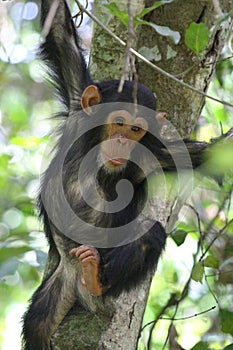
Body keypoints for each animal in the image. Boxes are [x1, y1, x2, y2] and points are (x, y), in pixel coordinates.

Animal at [20, 0, 232, 350]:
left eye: (136, 130)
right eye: (119, 123)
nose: (122, 141)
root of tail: (79, 288)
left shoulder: (154, 154)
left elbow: (211, 156)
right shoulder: (77, 102)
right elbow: (60, 34)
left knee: (151, 233)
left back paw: (95, 276)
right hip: (57, 286)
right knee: (36, 328)